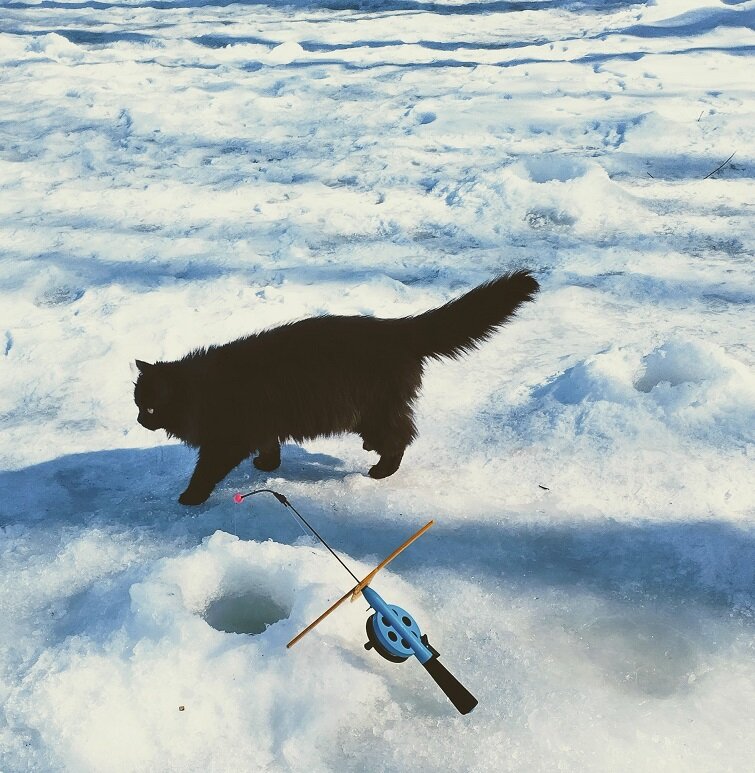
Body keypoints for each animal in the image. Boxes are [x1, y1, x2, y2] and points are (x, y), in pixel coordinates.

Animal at [134, 272, 536, 506]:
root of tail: (396, 329)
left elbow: (205, 470)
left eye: (150, 408)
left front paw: (191, 497)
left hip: (372, 410)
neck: (202, 390)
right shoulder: (262, 423)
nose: (139, 421)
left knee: (402, 436)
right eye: (137, 405)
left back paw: (381, 470)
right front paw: (267, 465)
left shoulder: (227, 439)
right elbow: (270, 444)